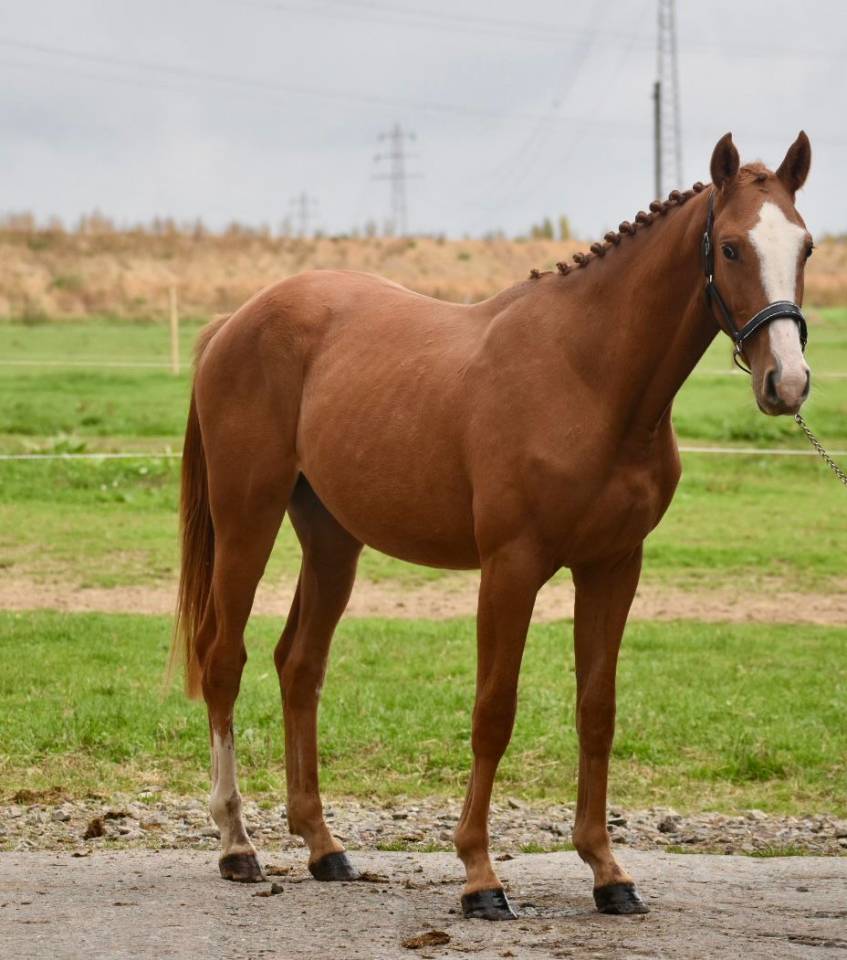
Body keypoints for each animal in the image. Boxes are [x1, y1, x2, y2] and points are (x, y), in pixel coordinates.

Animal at [171, 131, 813, 920]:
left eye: (806, 247)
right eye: (729, 247)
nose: (787, 382)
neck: (588, 377)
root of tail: (234, 322)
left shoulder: (613, 566)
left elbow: (596, 711)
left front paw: (607, 871)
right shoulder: (511, 568)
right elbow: (493, 711)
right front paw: (479, 876)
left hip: (332, 540)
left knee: (300, 666)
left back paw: (324, 847)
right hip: (247, 521)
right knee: (223, 659)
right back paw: (236, 843)